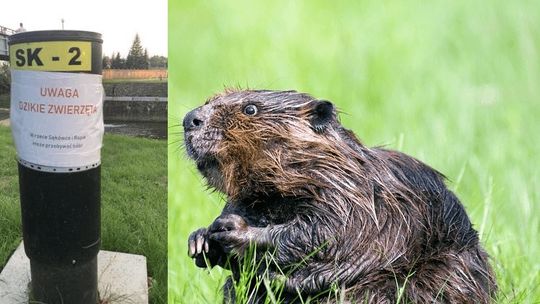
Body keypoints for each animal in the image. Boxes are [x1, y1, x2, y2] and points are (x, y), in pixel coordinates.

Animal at [184, 89, 496, 302]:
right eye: (210, 100)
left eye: (250, 109)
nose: (190, 119)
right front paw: (200, 240)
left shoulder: (352, 196)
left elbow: (324, 233)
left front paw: (234, 230)